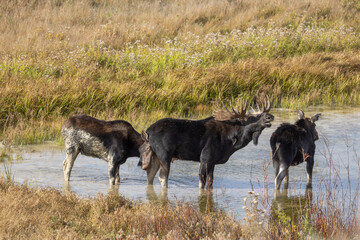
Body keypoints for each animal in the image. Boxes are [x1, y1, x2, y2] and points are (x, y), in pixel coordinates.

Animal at [139, 96, 274, 188]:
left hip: (155, 155)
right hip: (164, 154)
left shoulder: (212, 162)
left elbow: (210, 183)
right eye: (252, 117)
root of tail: (148, 131)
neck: (231, 142)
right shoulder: (205, 158)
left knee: (150, 175)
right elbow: (201, 182)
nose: (270, 116)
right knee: (162, 177)